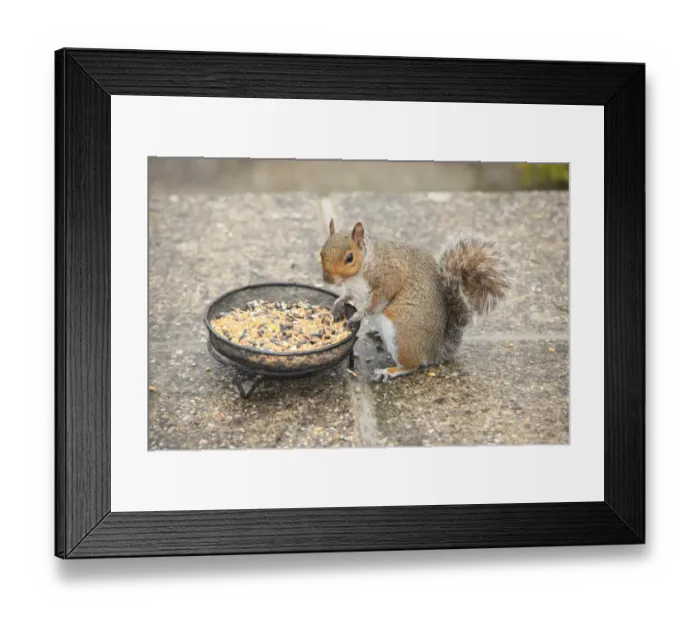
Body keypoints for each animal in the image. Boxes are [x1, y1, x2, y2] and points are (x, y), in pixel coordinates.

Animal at [320, 218, 510, 382]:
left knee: (412, 366)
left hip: (403, 337)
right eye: (321, 252)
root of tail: (435, 352)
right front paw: (337, 305)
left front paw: (357, 316)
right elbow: (347, 296)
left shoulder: (390, 277)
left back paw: (388, 371)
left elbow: (376, 304)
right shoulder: (353, 289)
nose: (327, 278)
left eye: (349, 258)